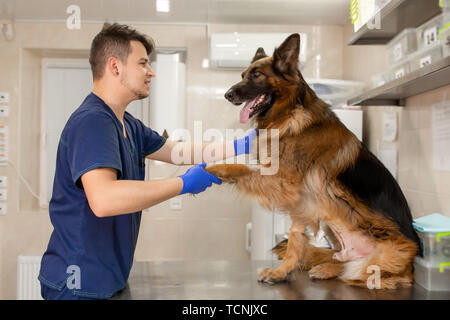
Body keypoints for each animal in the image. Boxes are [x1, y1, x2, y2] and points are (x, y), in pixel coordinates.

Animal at [206, 33, 424, 288]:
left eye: (257, 74)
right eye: (242, 75)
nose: (227, 94)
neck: (289, 114)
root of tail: (412, 268)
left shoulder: (285, 184)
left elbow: (240, 167)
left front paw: (211, 170)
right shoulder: (301, 201)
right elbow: (295, 240)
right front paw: (281, 272)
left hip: (377, 258)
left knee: (359, 272)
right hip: (332, 220)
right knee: (341, 260)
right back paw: (327, 267)